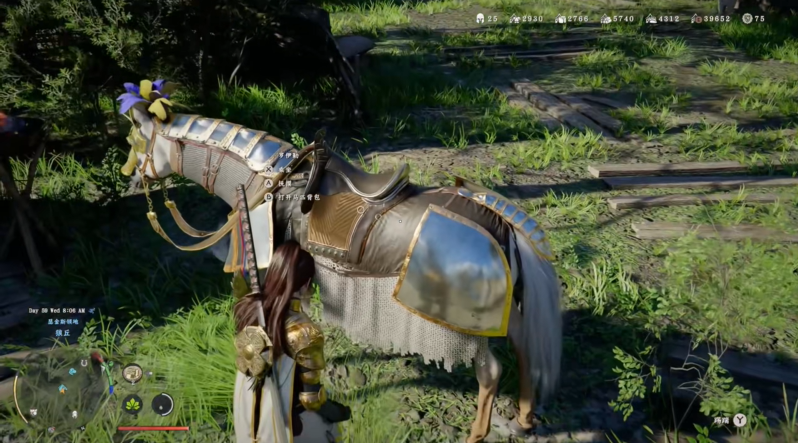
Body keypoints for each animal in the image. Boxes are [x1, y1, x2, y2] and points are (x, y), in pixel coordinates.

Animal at [122, 105, 563, 443]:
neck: (263, 178)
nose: (131, 180)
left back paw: (477, 434)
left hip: (463, 324)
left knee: (491, 372)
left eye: (136, 142)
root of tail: (501, 222)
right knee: (525, 351)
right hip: (506, 312)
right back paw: (524, 420)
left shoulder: (263, 266)